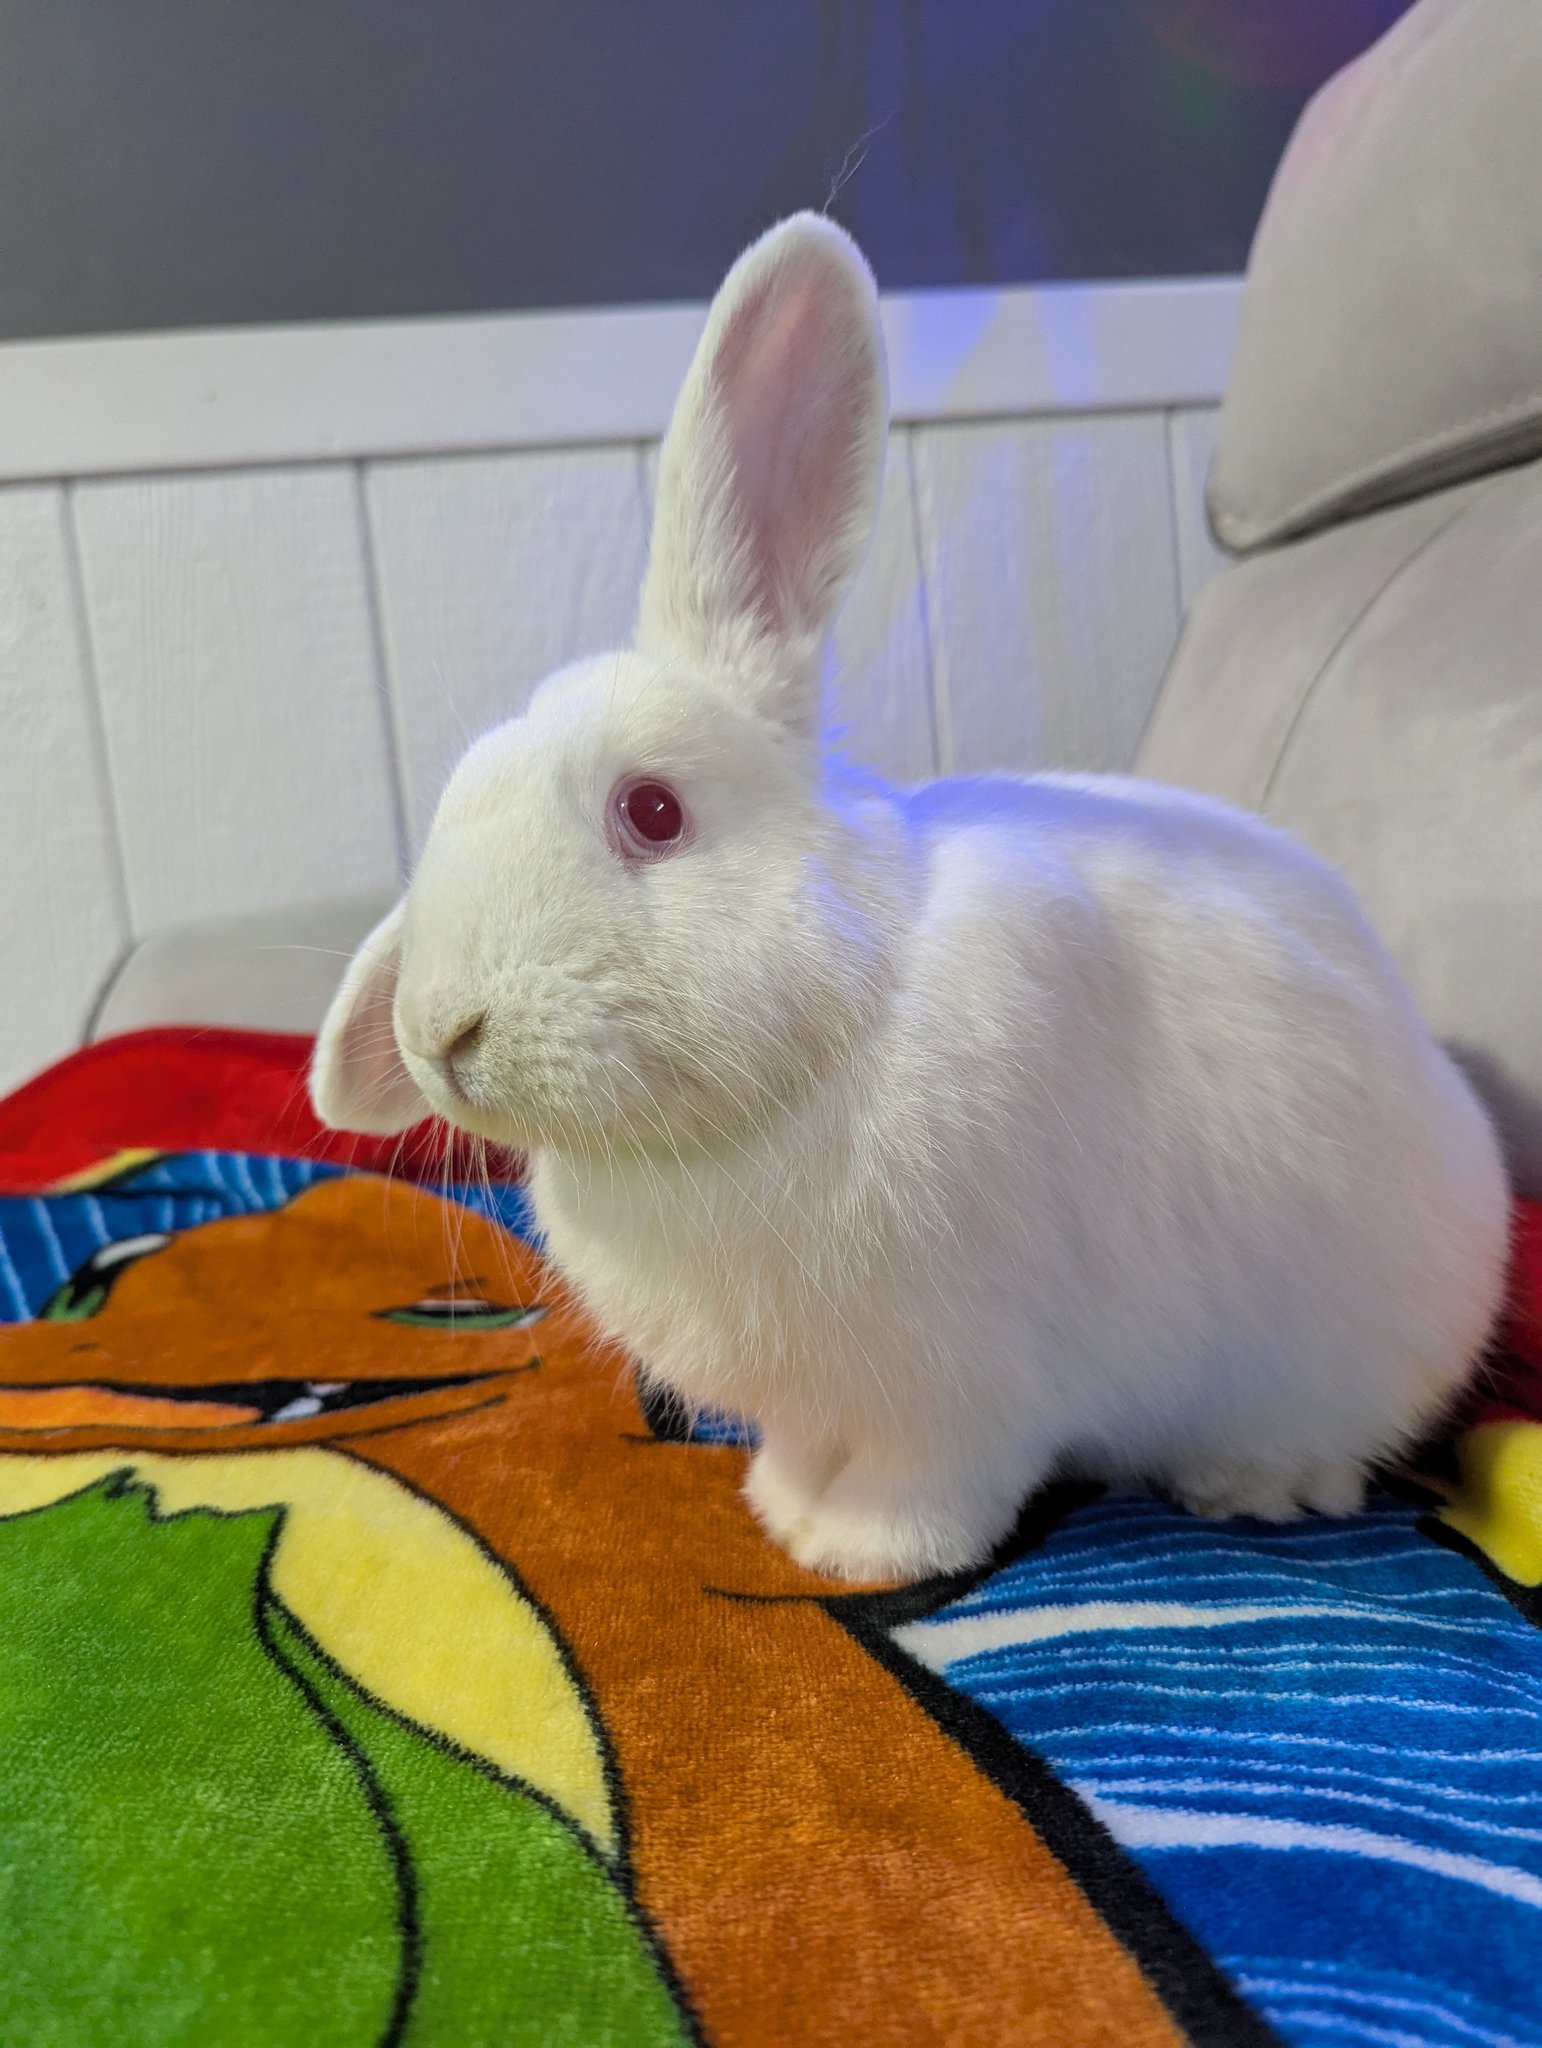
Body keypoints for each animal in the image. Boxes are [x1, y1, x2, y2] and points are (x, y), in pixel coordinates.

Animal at [310, 212, 1510, 1585]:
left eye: (652, 811)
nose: (440, 1032)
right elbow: (806, 1445)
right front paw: (781, 1501)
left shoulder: (971, 1381)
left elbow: (940, 1482)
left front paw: (857, 1551)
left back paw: (1250, 1484)